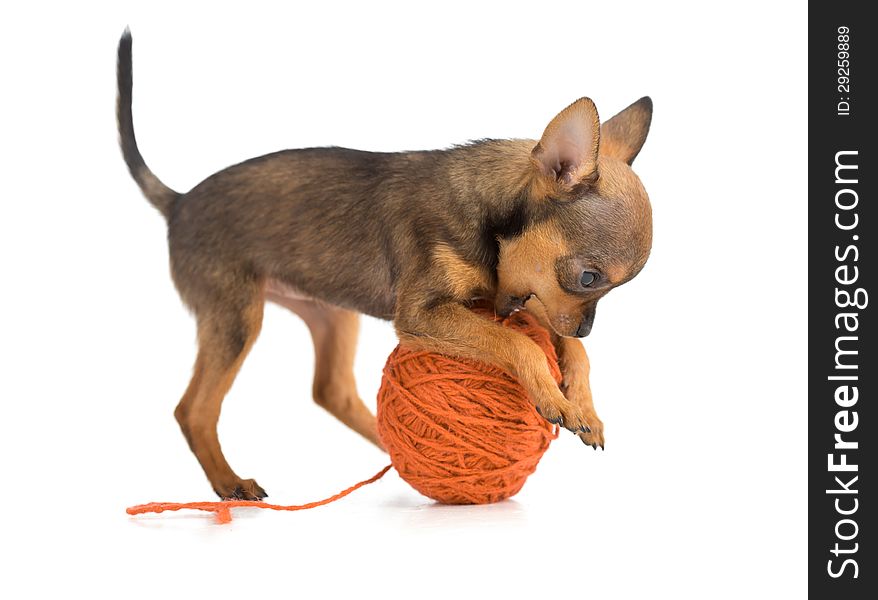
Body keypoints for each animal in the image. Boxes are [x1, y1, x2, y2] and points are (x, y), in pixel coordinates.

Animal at [115, 30, 652, 500]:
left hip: (329, 314)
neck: (488, 218)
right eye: (588, 278)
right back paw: (230, 482)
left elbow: (566, 348)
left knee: (330, 390)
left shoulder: (514, 300)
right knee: (194, 410)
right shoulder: (424, 315)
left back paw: (389, 450)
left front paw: (584, 406)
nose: (587, 327)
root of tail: (178, 202)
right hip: (236, 319)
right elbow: (518, 343)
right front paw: (553, 396)